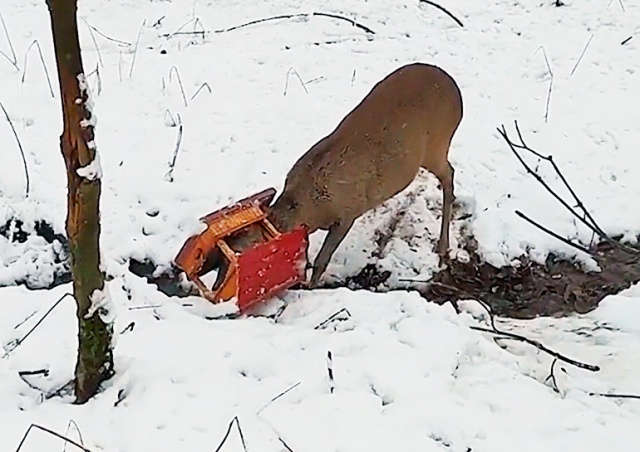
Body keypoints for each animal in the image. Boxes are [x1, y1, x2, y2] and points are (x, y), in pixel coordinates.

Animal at [212, 61, 462, 290]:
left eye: (232, 260)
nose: (216, 287)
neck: (310, 208)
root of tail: (457, 92)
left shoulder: (348, 210)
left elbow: (322, 259)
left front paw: (309, 288)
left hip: (437, 144)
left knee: (449, 174)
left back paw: (442, 247)